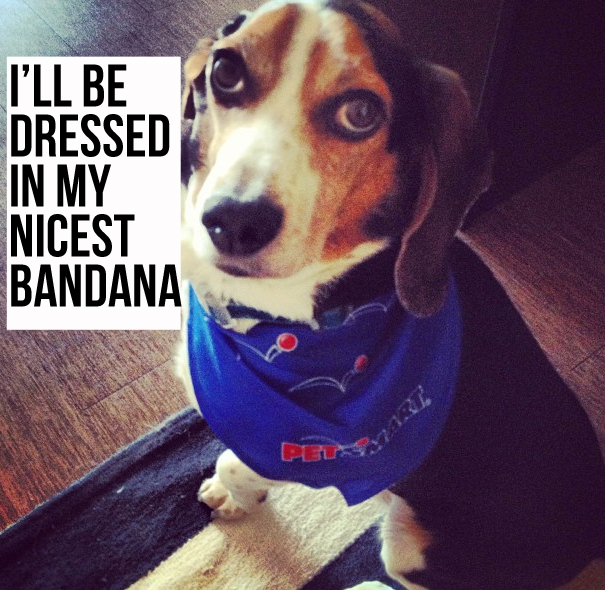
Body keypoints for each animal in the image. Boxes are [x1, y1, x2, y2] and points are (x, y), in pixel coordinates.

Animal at [178, 1, 605, 589]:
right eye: (224, 71)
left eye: (360, 113)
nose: (233, 222)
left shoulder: (304, 453)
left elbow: (234, 460)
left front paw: (232, 492)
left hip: (411, 543)